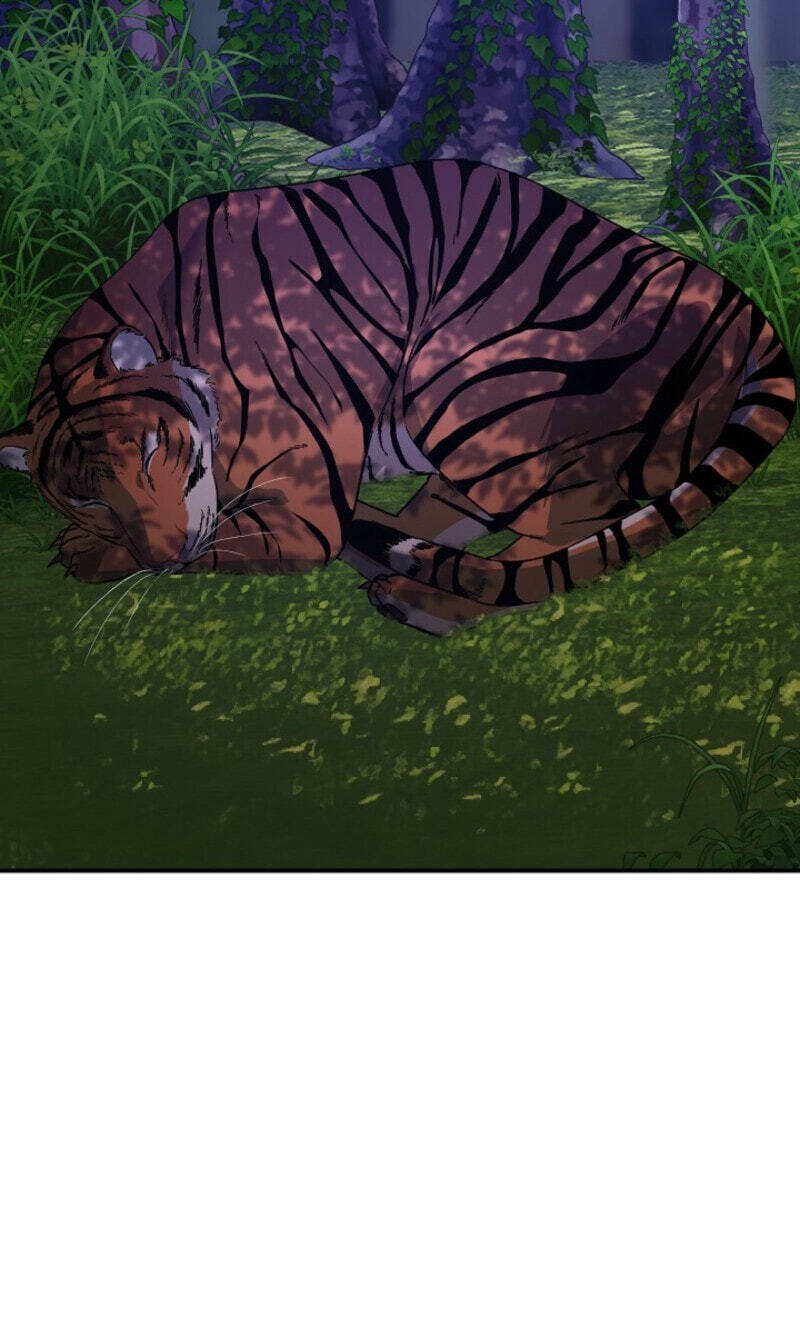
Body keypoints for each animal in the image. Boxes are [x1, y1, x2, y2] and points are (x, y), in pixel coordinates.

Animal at [0, 159, 795, 635]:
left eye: (151, 452)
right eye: (87, 495)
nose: (163, 556)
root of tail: (742, 307)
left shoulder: (301, 516)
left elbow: (226, 539)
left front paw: (88, 554)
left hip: (471, 382)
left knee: (559, 535)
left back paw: (420, 598)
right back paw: (392, 556)